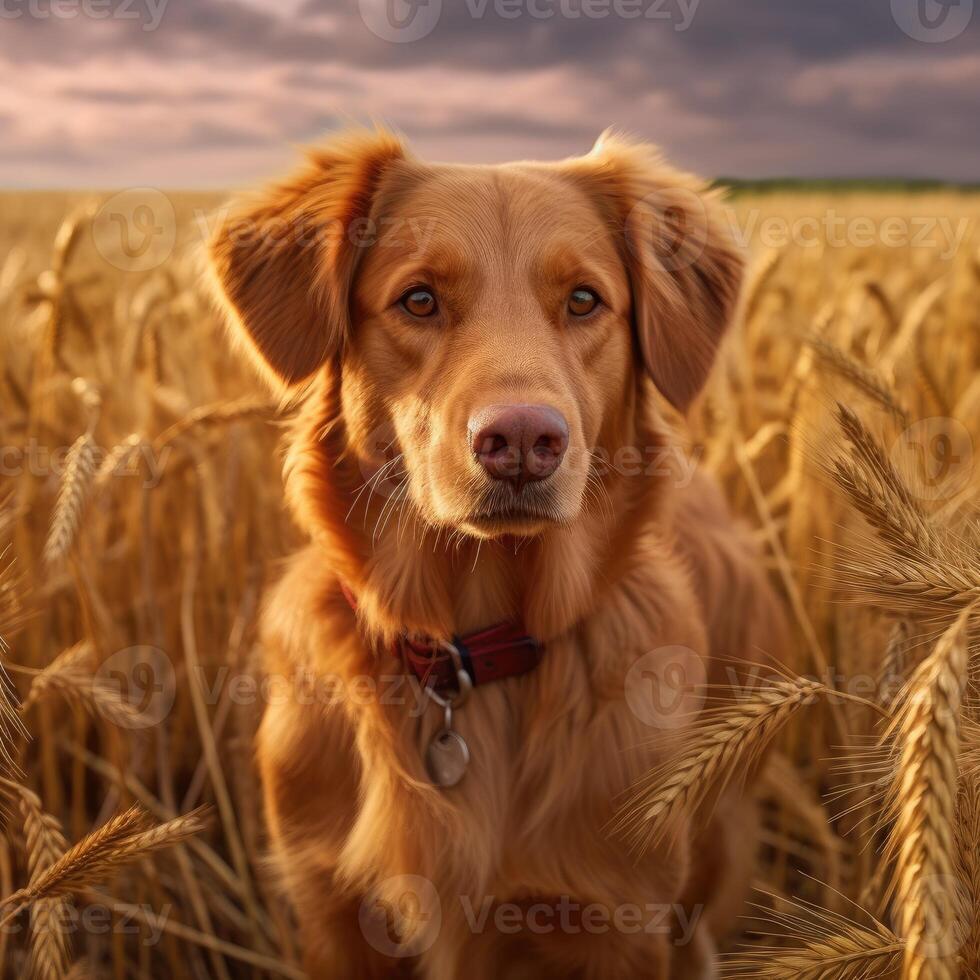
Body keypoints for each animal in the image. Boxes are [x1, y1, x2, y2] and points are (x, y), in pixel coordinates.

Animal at [209, 130, 788, 980]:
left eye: (583, 300)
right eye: (419, 299)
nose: (521, 440)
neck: (469, 659)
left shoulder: (619, 921)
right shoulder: (332, 913)